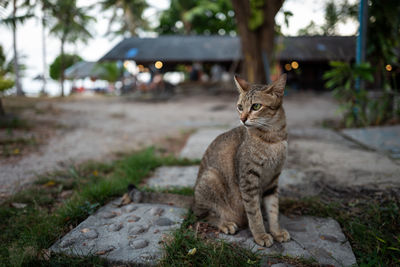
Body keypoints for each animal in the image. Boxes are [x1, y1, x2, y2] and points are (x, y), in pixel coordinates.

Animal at [192, 74, 290, 248]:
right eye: (239, 107)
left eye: (256, 106)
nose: (243, 119)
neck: (273, 138)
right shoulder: (248, 179)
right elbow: (255, 213)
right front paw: (260, 235)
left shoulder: (273, 179)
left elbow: (273, 209)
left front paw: (276, 231)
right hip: (211, 177)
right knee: (201, 215)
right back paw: (225, 223)